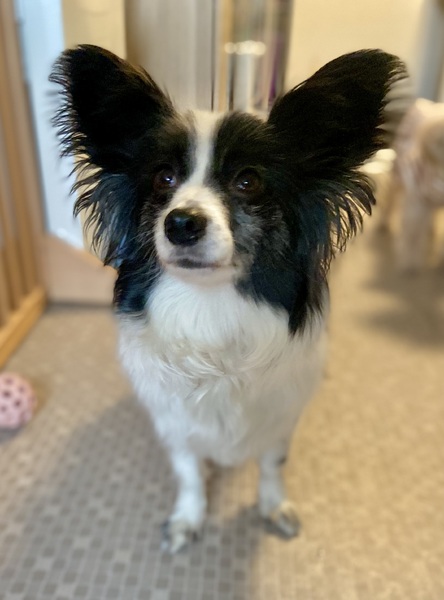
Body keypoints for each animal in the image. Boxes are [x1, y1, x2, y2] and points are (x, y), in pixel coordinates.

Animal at [51, 46, 406, 553]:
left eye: (247, 182)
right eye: (163, 178)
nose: (181, 222)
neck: (210, 309)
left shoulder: (280, 419)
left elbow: (272, 466)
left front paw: (273, 506)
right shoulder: (176, 422)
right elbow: (189, 473)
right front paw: (188, 517)